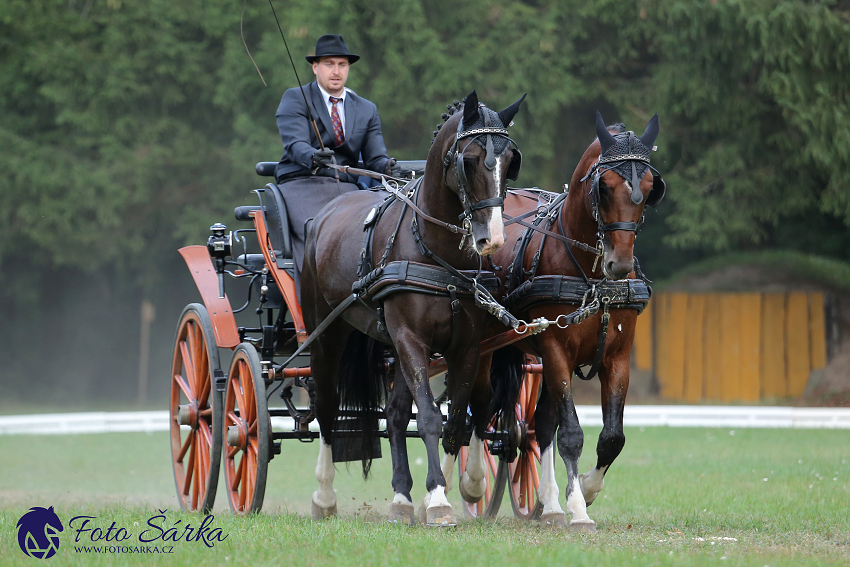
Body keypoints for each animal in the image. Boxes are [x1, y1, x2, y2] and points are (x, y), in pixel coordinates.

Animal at [298, 90, 524, 528]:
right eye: (470, 160)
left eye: (510, 161)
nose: (492, 239)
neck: (438, 253)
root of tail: (324, 213)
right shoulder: (410, 338)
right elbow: (432, 417)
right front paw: (436, 499)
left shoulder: (465, 346)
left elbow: (455, 420)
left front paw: (453, 490)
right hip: (327, 332)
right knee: (328, 406)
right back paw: (324, 495)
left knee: (397, 413)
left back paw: (401, 498)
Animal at [484, 112, 664, 532]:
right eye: (605, 187)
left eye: (650, 187)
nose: (620, 265)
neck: (591, 275)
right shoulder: (555, 350)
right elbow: (570, 433)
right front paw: (579, 509)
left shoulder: (617, 357)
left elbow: (612, 437)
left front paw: (585, 488)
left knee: (539, 424)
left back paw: (549, 504)